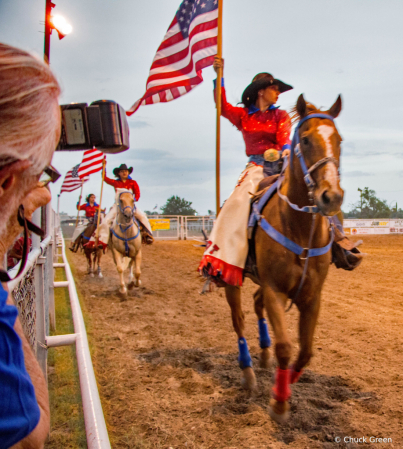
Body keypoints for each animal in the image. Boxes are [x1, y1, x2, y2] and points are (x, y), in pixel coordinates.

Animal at [226, 93, 346, 422]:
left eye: (339, 140)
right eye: (305, 139)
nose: (332, 197)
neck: (299, 228)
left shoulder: (312, 296)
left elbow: (305, 352)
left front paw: (286, 388)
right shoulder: (275, 291)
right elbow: (285, 347)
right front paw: (279, 403)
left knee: (256, 308)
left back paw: (263, 357)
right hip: (232, 280)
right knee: (239, 320)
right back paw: (248, 373)